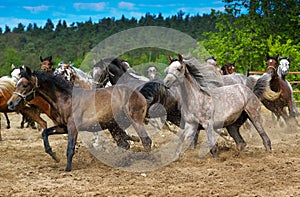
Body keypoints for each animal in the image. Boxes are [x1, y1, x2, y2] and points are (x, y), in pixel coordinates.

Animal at [6, 66, 152, 171]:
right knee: (125, 144)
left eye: (25, 85)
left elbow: (70, 148)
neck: (66, 99)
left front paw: (67, 169)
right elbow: (45, 133)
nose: (10, 103)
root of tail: (139, 93)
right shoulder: (62, 127)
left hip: (135, 120)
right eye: (17, 83)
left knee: (146, 141)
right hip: (114, 126)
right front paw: (54, 156)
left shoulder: (72, 128)